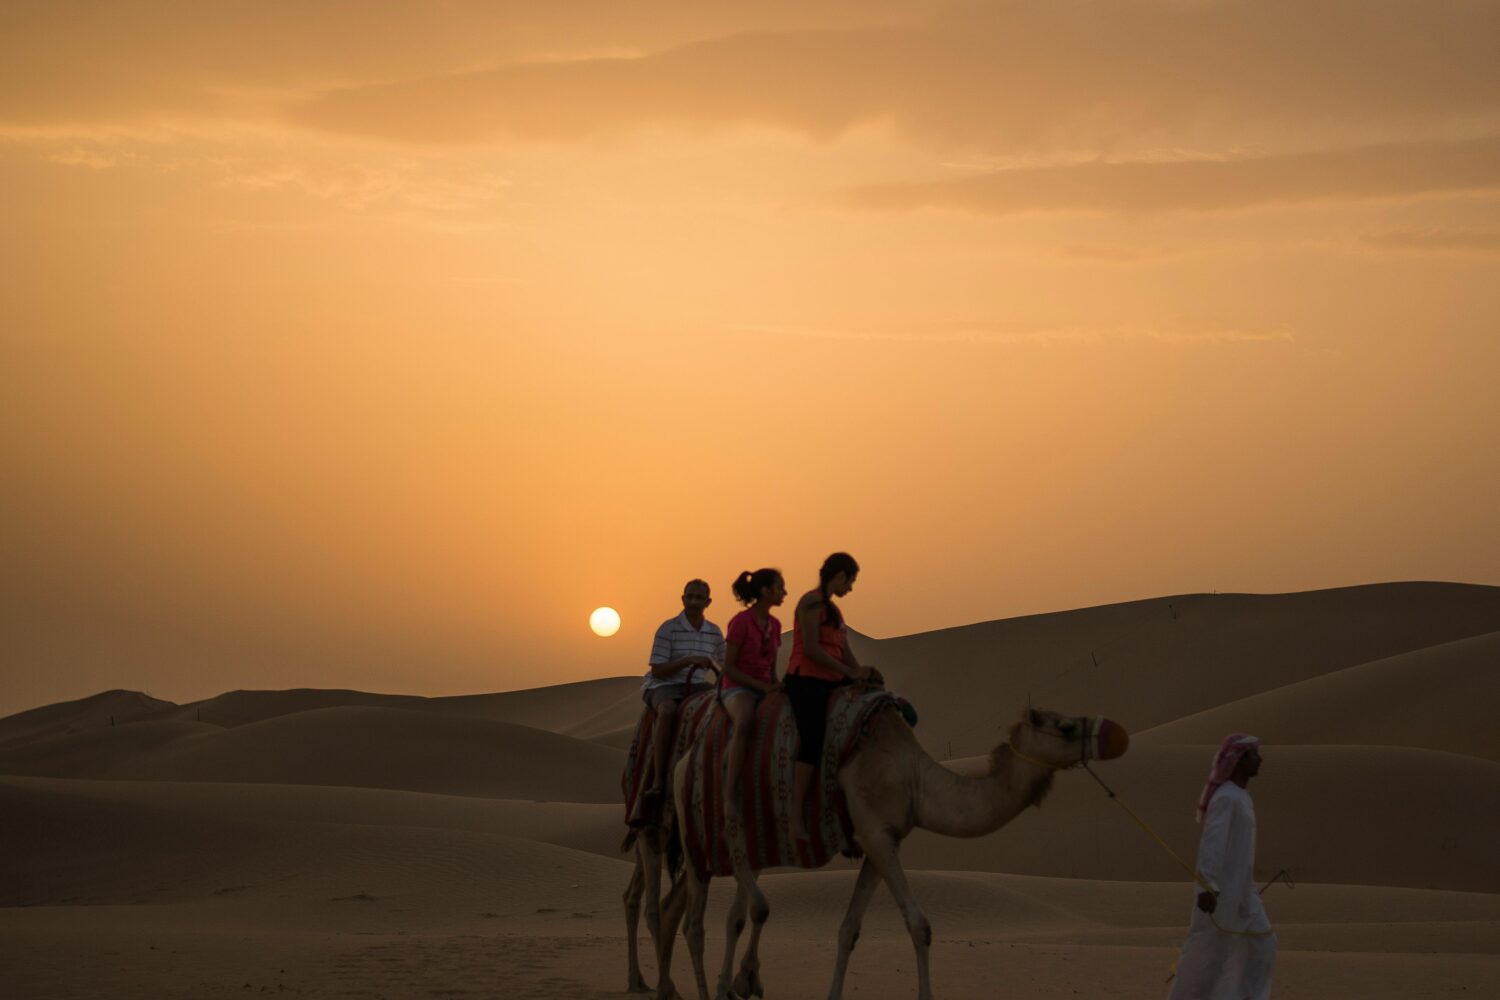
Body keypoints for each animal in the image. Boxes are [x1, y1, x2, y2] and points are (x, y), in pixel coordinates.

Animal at [654, 704, 1128, 1000]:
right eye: (1065, 727)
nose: (1116, 734)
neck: (913, 779)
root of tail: (681, 763)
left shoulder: (879, 841)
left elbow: (849, 929)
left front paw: (830, 994)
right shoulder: (876, 834)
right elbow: (920, 925)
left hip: (739, 844)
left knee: (728, 908)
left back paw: (727, 982)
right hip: (698, 841)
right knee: (699, 921)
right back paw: (716, 986)